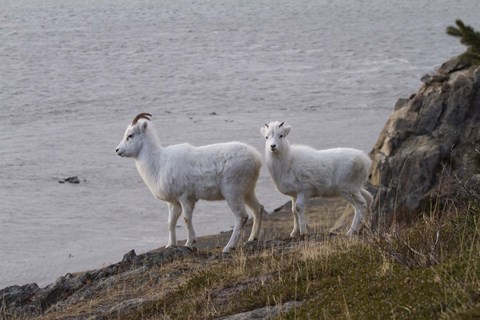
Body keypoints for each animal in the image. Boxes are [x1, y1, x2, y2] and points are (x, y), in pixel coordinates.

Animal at [116, 114, 266, 254]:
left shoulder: (185, 198)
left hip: (232, 193)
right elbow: (170, 223)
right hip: (248, 192)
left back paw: (228, 247)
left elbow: (186, 219)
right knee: (258, 209)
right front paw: (170, 245)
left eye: (130, 135)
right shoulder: (174, 203)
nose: (117, 150)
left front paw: (189, 244)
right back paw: (252, 239)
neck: (158, 163)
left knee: (241, 216)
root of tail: (256, 158)